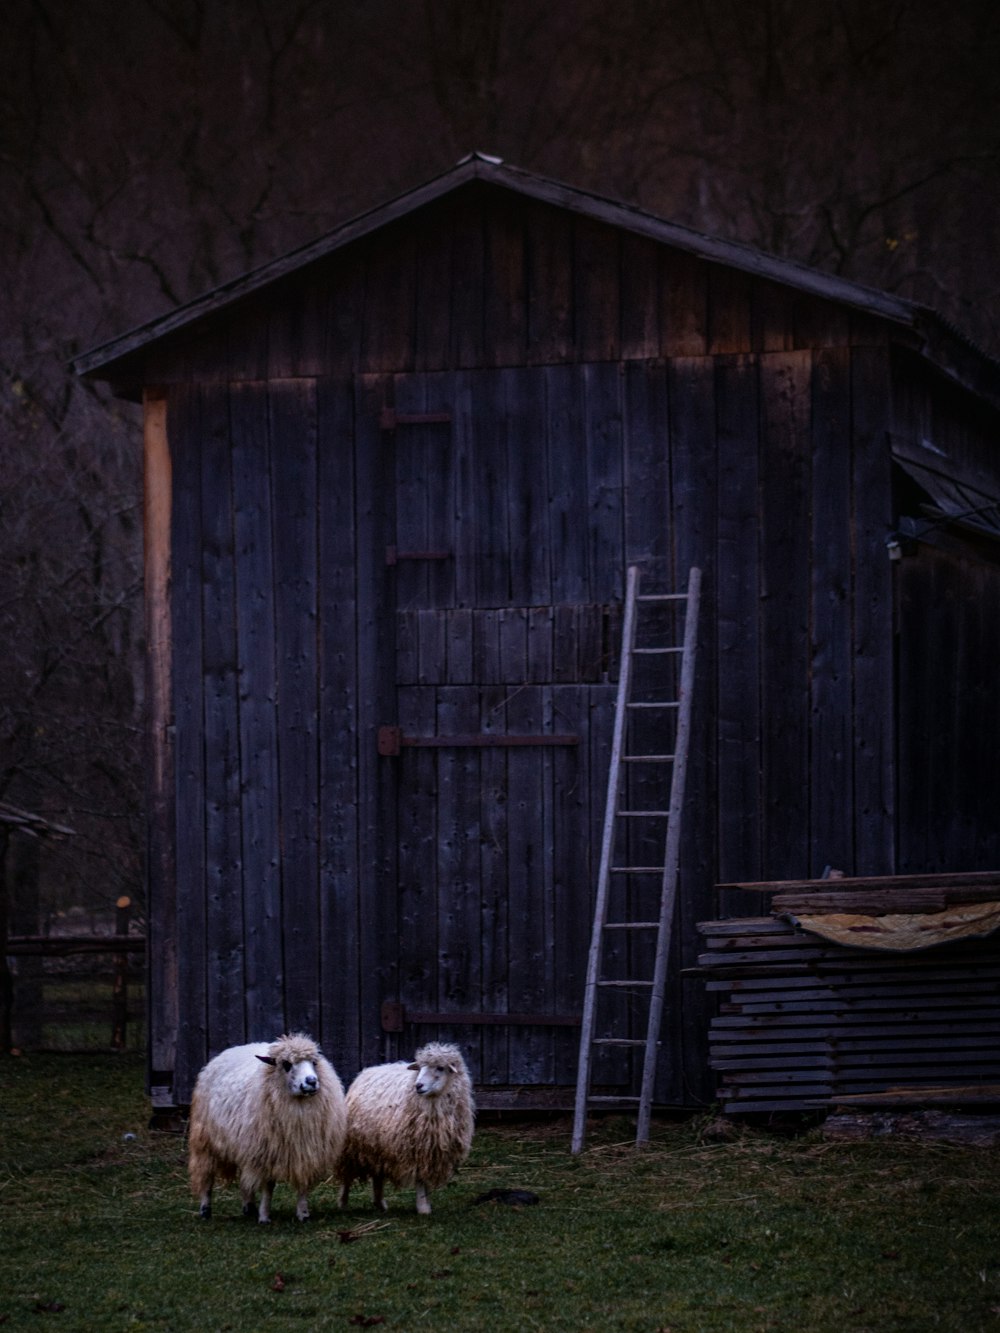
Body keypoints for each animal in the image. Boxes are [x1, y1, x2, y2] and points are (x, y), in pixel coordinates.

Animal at [188, 1029, 349, 1226]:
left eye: (314, 1062)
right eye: (286, 1064)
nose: (311, 1081)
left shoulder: (306, 1153)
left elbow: (302, 1185)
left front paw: (303, 1214)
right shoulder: (267, 1152)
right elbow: (268, 1186)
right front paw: (264, 1216)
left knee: (245, 1180)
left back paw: (248, 1207)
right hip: (205, 1140)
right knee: (207, 1177)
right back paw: (205, 1210)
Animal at [338, 1039, 474, 1221]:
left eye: (440, 1067)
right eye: (420, 1068)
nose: (418, 1085)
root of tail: (369, 1070)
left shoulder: (432, 1151)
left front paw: (425, 1204)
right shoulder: (417, 1149)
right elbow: (420, 1180)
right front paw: (423, 1207)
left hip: (378, 1145)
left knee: (377, 1176)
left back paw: (379, 1203)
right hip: (353, 1145)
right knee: (347, 1175)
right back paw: (343, 1202)